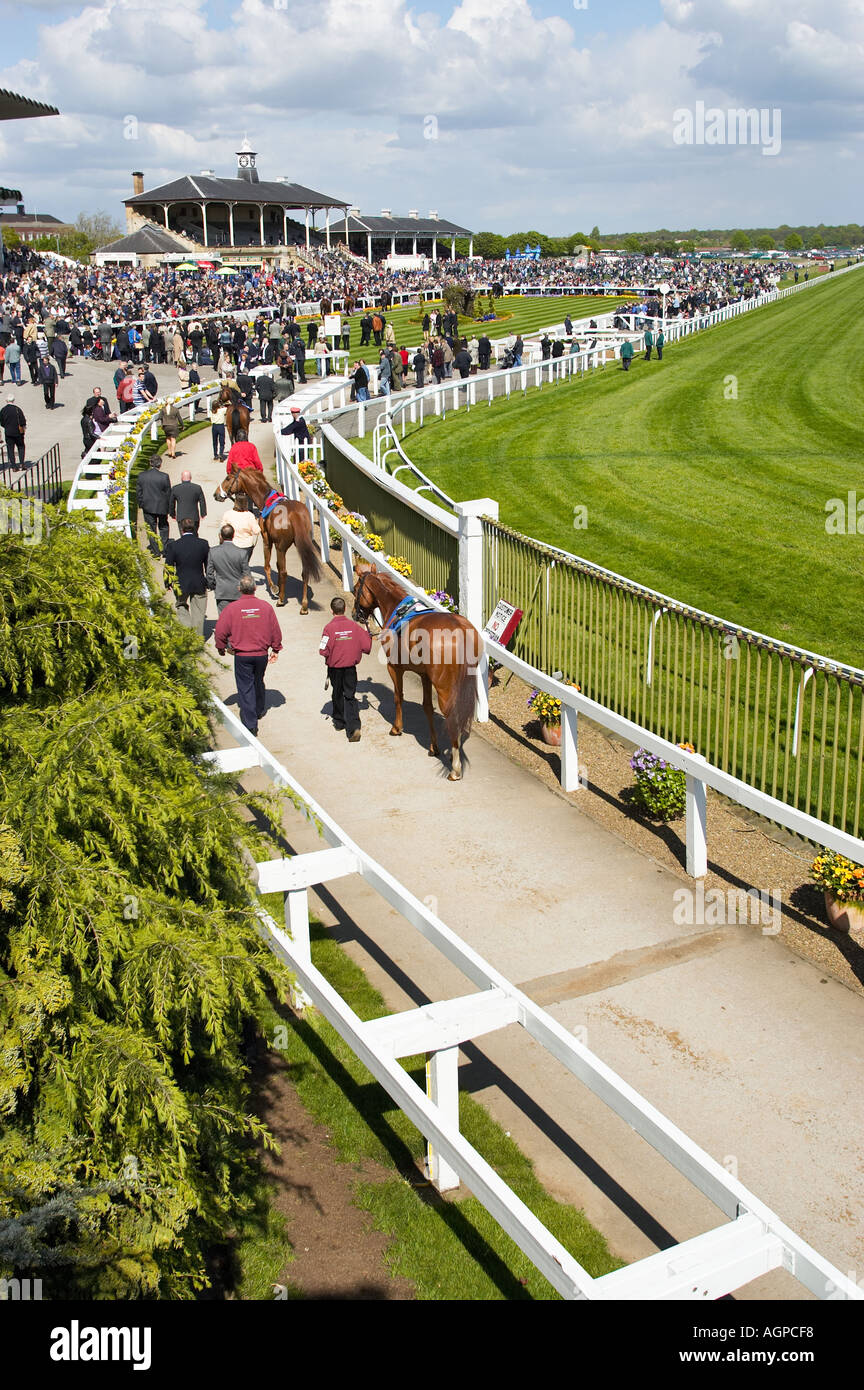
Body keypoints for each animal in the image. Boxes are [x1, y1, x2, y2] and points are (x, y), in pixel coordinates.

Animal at [215, 467, 323, 608]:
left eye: (228, 478)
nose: (216, 494)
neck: (266, 499)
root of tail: (295, 513)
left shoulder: (267, 540)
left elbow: (267, 566)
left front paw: (274, 588)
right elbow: (276, 565)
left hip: (281, 547)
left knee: (284, 572)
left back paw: (281, 600)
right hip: (302, 544)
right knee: (305, 571)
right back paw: (304, 605)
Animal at [354, 564, 488, 783]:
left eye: (357, 588)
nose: (355, 614)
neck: (398, 610)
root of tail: (460, 629)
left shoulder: (394, 668)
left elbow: (398, 697)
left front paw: (397, 728)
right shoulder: (425, 676)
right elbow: (427, 707)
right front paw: (434, 747)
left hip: (444, 688)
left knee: (453, 717)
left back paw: (455, 768)